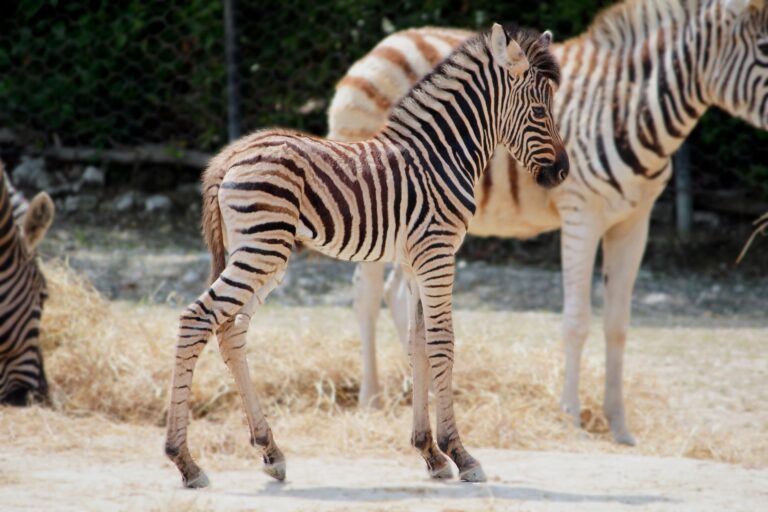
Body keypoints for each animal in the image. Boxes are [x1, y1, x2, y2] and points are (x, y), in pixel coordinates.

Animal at [165, 23, 568, 487]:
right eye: (539, 111)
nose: (562, 172)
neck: (442, 157)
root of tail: (231, 155)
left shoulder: (415, 260)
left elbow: (418, 344)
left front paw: (429, 453)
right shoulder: (438, 252)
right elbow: (442, 343)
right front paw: (461, 454)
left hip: (259, 253)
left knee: (230, 330)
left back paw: (270, 451)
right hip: (261, 250)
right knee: (196, 318)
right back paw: (185, 461)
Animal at [330, 0, 768, 445]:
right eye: (766, 49)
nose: (560, 169)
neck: (629, 106)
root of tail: (381, 45)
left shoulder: (634, 221)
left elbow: (617, 324)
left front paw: (619, 425)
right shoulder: (582, 214)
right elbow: (577, 321)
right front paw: (571, 417)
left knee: (397, 293)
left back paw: (416, 389)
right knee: (367, 295)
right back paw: (372, 399)